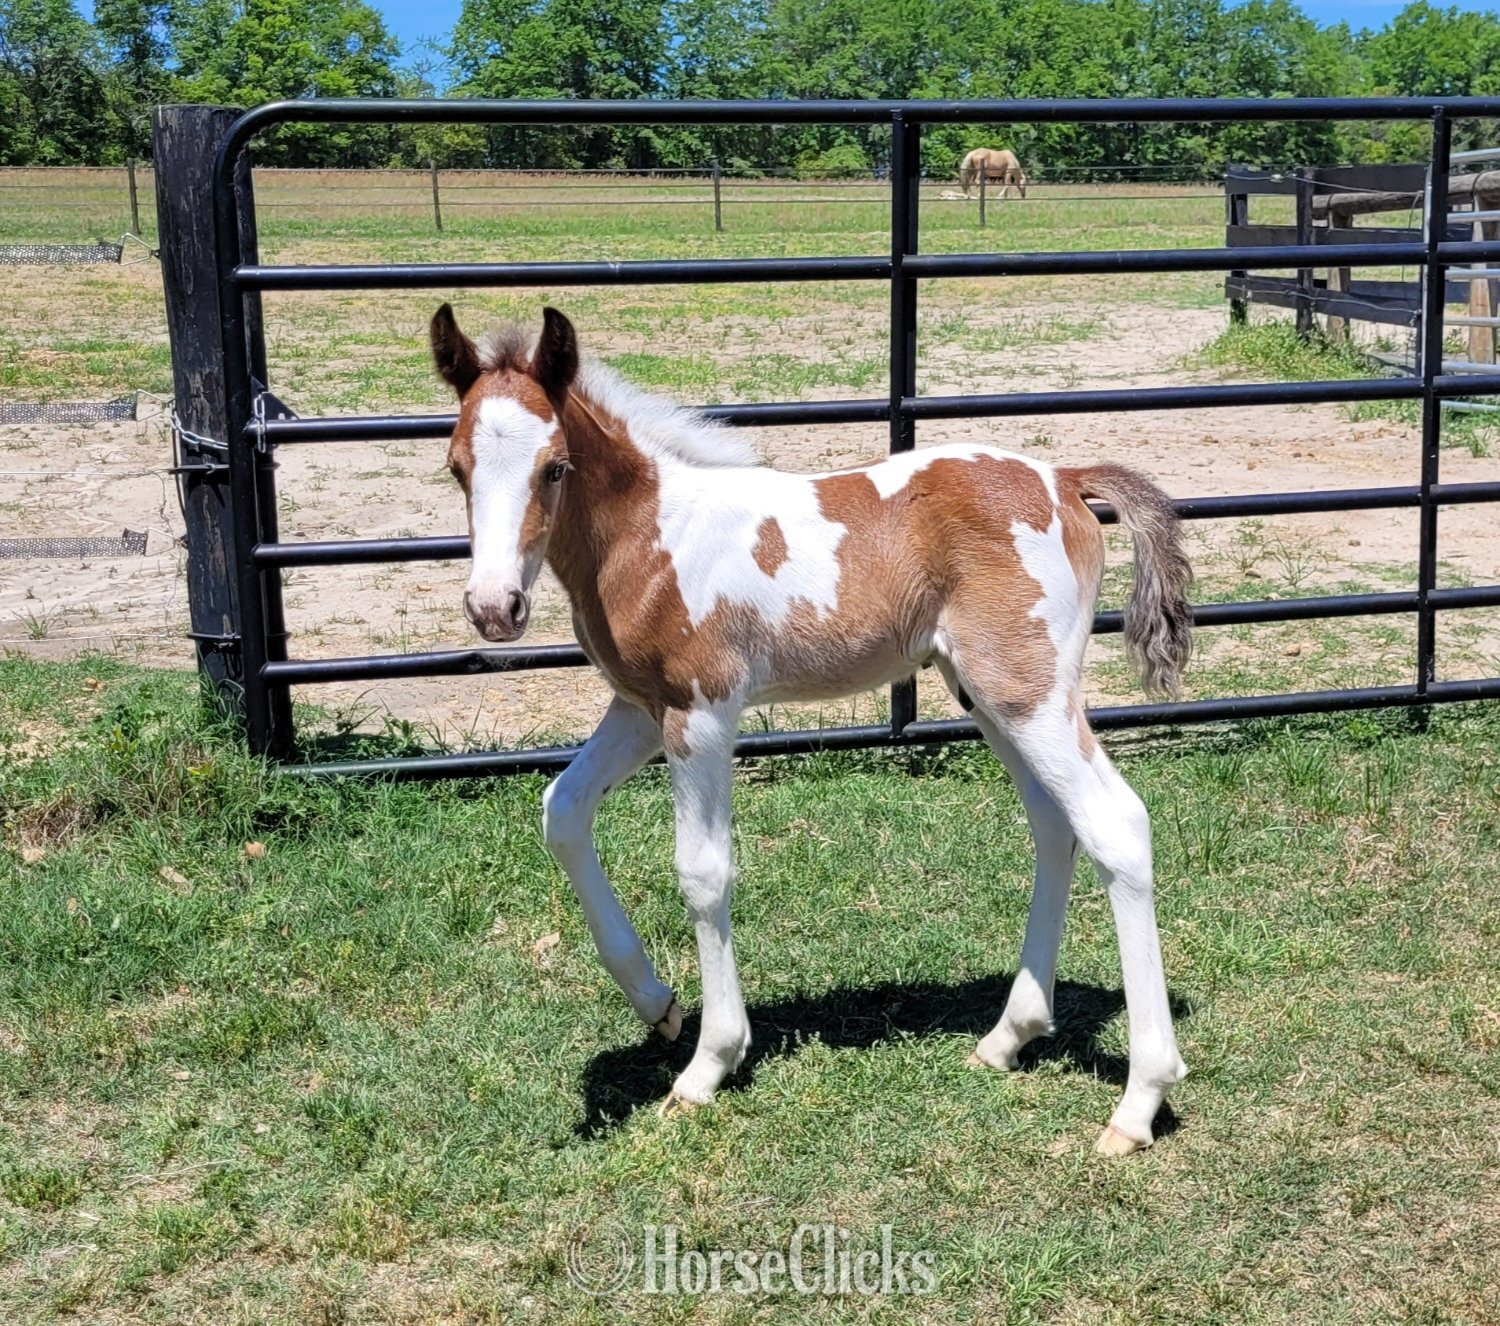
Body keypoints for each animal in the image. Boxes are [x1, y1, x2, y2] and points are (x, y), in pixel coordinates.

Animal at [429, 304, 1193, 1155]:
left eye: (554, 468)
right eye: (457, 467)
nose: (495, 608)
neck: (652, 537)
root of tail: (1062, 482)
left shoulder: (702, 712)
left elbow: (702, 872)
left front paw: (709, 1063)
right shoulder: (639, 710)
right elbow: (561, 812)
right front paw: (658, 1006)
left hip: (1028, 693)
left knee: (1115, 825)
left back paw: (1138, 1102)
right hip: (990, 697)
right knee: (1056, 827)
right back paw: (1007, 1038)